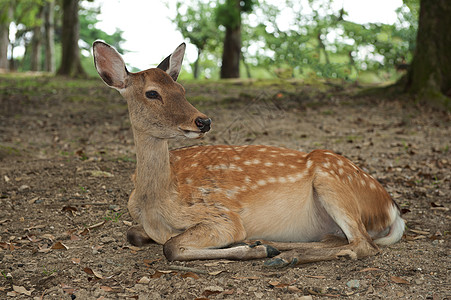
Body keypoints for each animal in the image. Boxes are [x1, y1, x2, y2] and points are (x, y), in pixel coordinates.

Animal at [92, 40, 406, 268]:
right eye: (152, 93)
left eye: (181, 88)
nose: (203, 121)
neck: (155, 205)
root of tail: (392, 209)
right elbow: (133, 234)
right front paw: (256, 247)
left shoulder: (223, 216)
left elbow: (171, 247)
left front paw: (247, 249)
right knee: (337, 239)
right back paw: (272, 245)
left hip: (332, 178)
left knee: (363, 245)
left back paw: (282, 255)